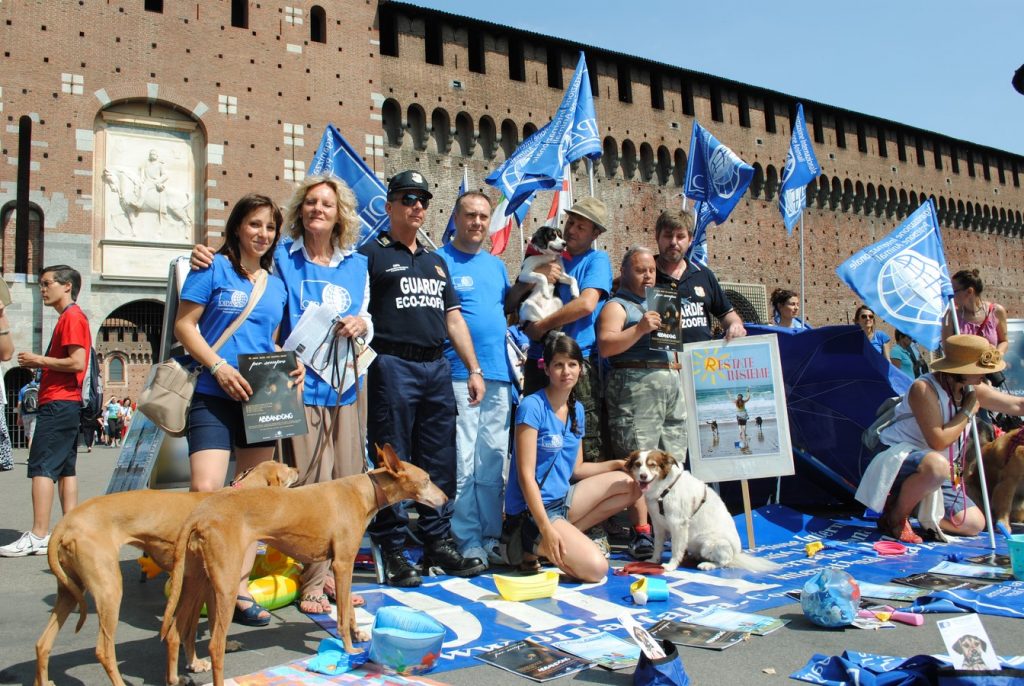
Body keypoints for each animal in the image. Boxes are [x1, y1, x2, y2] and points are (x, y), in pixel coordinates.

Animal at [33, 458, 296, 686]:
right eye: (285, 469)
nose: (296, 468)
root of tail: (65, 522)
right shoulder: (202, 583)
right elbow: (189, 628)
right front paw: (191, 664)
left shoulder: (202, 584)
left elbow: (200, 625)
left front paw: (197, 661)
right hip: (109, 591)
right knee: (103, 651)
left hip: (70, 591)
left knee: (42, 644)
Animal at [161, 446, 446, 686]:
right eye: (426, 479)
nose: (445, 499)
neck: (364, 490)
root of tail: (202, 513)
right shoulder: (343, 564)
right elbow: (342, 616)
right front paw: (350, 650)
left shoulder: (343, 565)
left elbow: (349, 608)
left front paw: (358, 635)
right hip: (226, 586)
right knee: (215, 646)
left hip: (196, 580)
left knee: (174, 632)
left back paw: (175, 677)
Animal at [622, 450, 774, 573]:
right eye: (638, 464)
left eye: (652, 465)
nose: (642, 476)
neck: (665, 488)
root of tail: (737, 553)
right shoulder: (658, 524)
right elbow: (658, 545)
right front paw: (654, 560)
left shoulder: (678, 525)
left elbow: (676, 548)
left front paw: (671, 566)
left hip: (711, 543)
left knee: (725, 562)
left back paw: (708, 565)